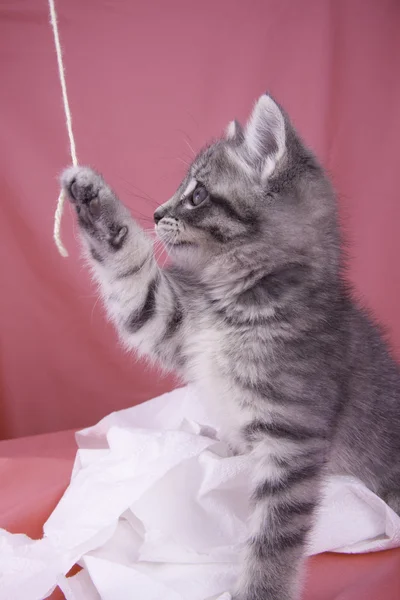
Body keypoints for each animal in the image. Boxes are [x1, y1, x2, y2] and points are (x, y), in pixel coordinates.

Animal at [60, 95, 400, 600]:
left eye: (198, 195)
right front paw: (90, 194)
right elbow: (132, 276)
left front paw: (260, 590)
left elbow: (273, 538)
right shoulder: (168, 319)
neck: (239, 306)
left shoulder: (293, 443)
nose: (157, 214)